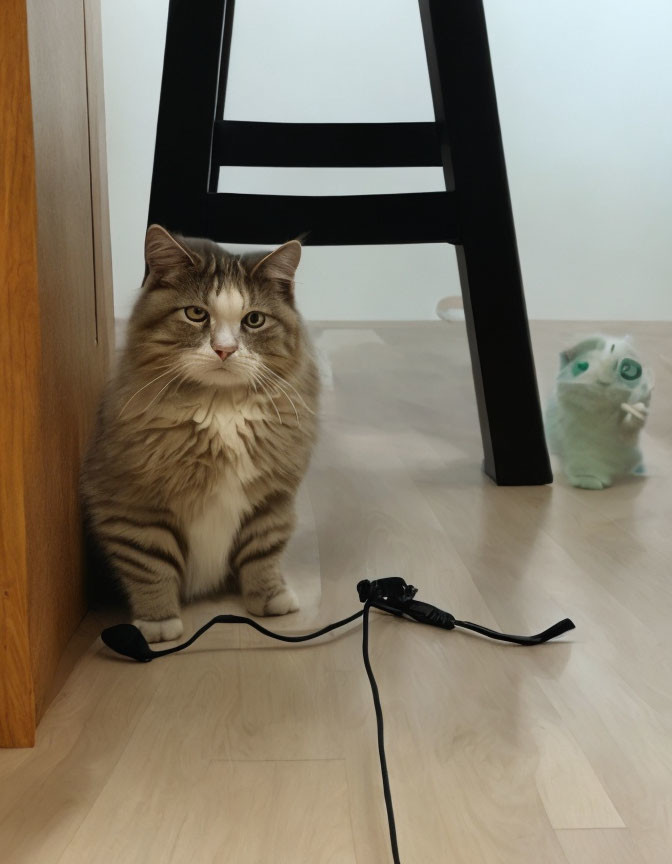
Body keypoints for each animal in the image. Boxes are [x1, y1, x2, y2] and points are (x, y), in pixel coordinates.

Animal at [80, 226, 318, 644]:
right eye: (196, 314)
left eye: (254, 320)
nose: (225, 350)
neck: (220, 409)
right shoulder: (132, 505)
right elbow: (150, 564)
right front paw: (158, 624)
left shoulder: (271, 499)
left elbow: (263, 551)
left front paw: (270, 598)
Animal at [544, 334, 652, 490]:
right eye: (583, 366)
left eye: (627, 369)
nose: (605, 381)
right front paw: (589, 481)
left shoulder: (626, 435)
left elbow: (630, 426)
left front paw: (638, 412)